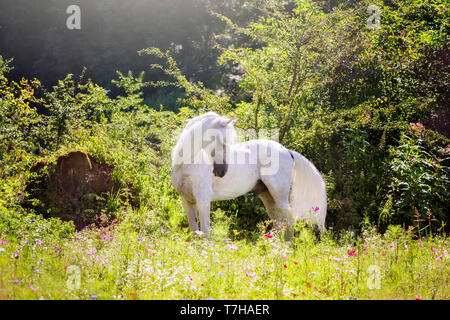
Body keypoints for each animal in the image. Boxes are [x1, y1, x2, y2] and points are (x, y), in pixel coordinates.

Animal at [171, 111, 326, 236]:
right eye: (223, 141)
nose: (222, 171)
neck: (186, 165)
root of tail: (286, 150)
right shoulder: (187, 201)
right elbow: (194, 230)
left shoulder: (203, 200)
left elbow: (205, 232)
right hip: (267, 196)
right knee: (278, 222)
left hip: (280, 196)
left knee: (288, 221)